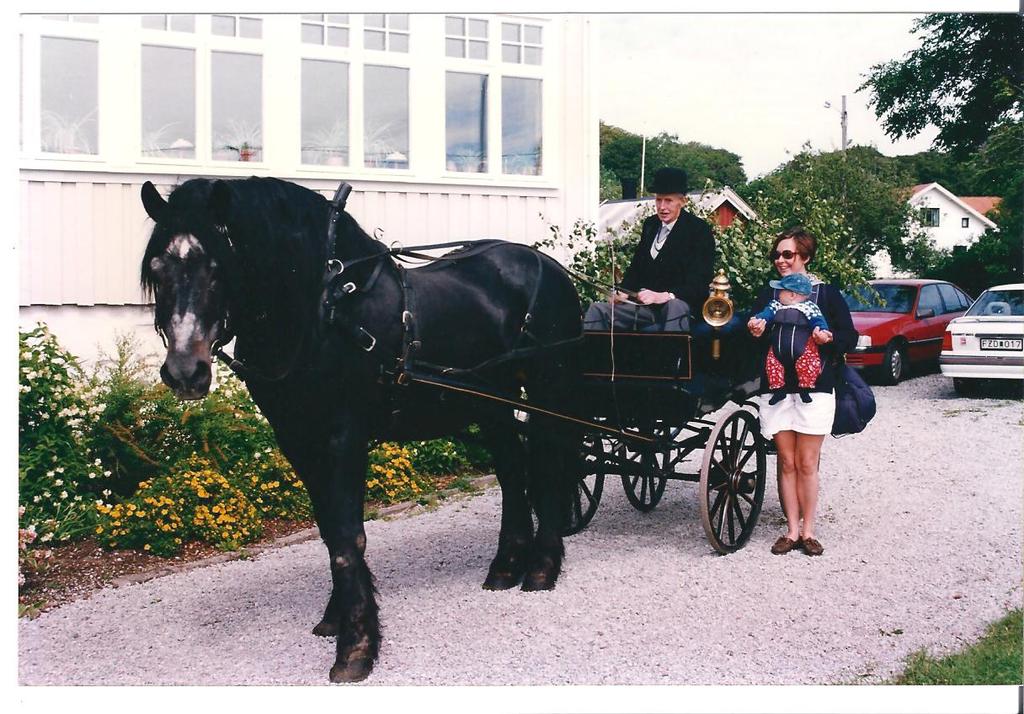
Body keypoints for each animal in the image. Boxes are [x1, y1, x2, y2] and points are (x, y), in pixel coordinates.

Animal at [139, 175, 585, 684]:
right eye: (157, 268)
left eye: (218, 266)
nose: (185, 372)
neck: (323, 313)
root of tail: (548, 265)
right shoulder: (299, 442)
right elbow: (330, 531)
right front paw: (336, 618)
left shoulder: (343, 439)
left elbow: (348, 537)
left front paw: (357, 646)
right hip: (492, 401)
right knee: (513, 474)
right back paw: (506, 567)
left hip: (551, 388)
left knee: (550, 464)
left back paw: (542, 569)